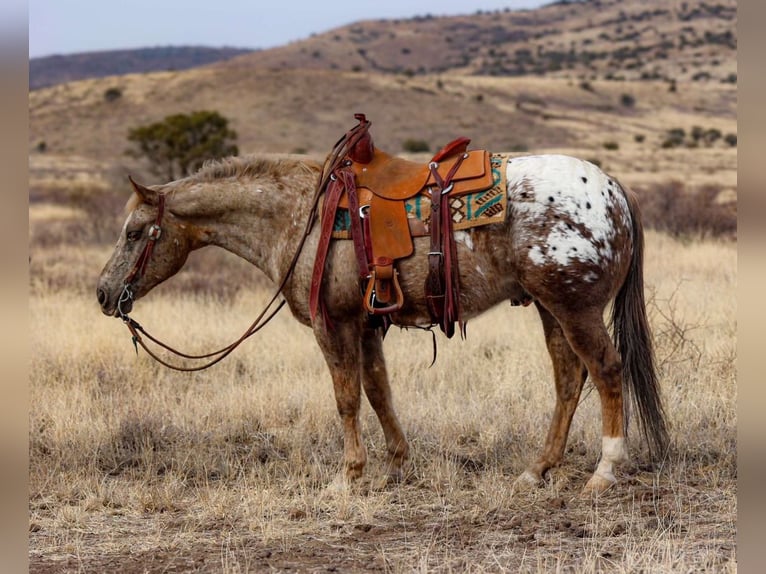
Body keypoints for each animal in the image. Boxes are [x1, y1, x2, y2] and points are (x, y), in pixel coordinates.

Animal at [99, 152, 668, 496]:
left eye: (134, 232)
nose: (104, 294)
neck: (300, 217)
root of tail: (615, 189)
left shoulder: (333, 325)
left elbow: (347, 398)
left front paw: (348, 476)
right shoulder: (369, 325)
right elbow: (378, 392)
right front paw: (396, 463)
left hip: (575, 309)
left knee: (606, 371)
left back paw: (604, 471)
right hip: (550, 309)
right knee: (569, 380)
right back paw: (537, 469)